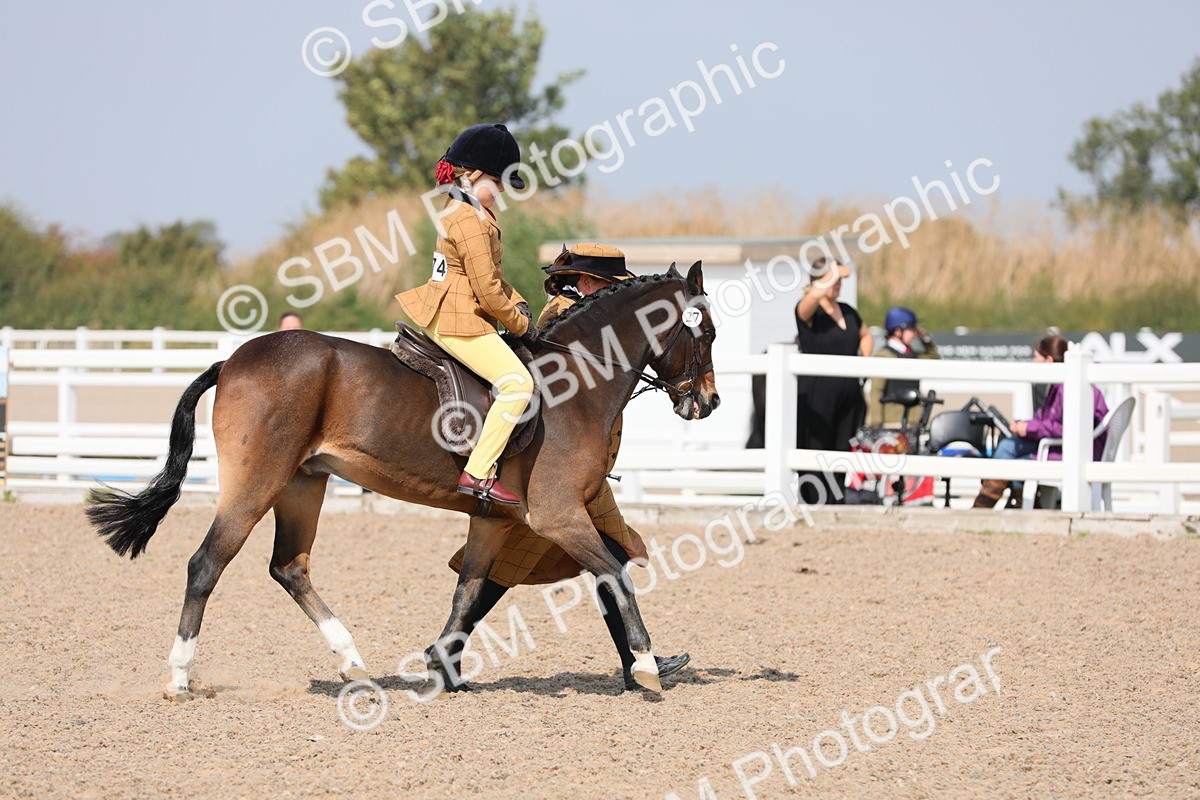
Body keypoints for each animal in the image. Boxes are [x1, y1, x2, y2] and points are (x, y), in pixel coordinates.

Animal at [86, 262, 719, 700]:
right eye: (707, 332)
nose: (708, 403)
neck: (576, 380)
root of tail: (234, 359)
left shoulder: (494, 521)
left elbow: (469, 591)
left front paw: (444, 668)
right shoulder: (559, 515)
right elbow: (616, 574)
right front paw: (646, 668)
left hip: (302, 485)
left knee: (289, 567)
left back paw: (352, 661)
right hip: (257, 483)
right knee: (206, 564)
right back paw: (179, 678)